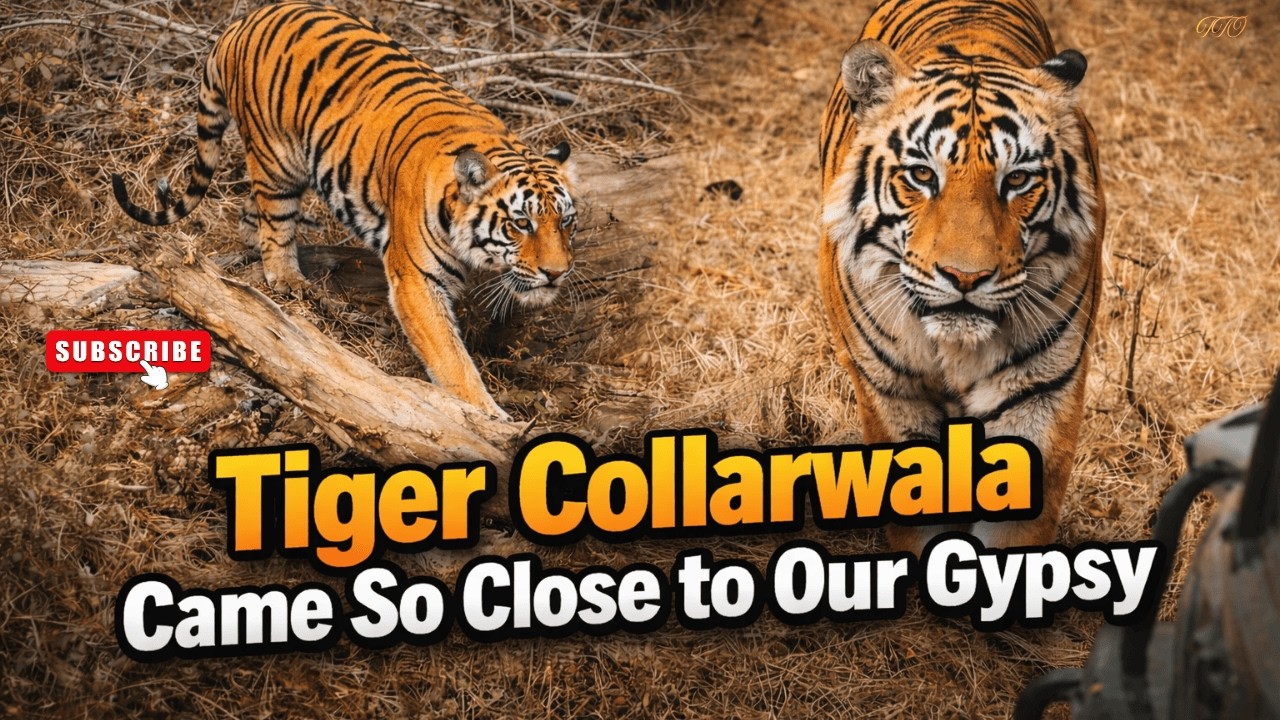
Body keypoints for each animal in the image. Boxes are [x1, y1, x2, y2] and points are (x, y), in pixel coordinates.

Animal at [112, 1, 578, 420]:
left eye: (566, 223)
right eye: (521, 223)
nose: (557, 273)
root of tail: (242, 22)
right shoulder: (416, 281)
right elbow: (450, 355)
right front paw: (487, 415)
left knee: (253, 210)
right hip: (278, 159)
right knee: (274, 222)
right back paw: (286, 278)